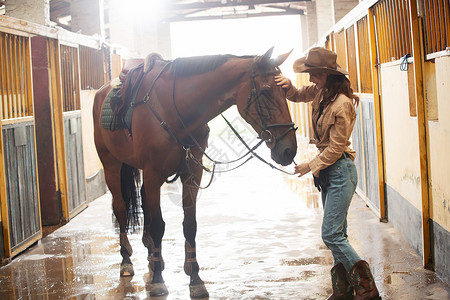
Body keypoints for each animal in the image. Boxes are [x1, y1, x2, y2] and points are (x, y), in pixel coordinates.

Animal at [92, 48, 298, 296]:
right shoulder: (153, 174)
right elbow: (159, 225)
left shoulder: (192, 173)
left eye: (285, 90)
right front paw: (159, 280)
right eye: (266, 91)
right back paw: (126, 261)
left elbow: (190, 224)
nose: (289, 149)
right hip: (111, 164)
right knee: (121, 209)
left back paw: (152, 258)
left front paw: (195, 279)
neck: (174, 108)